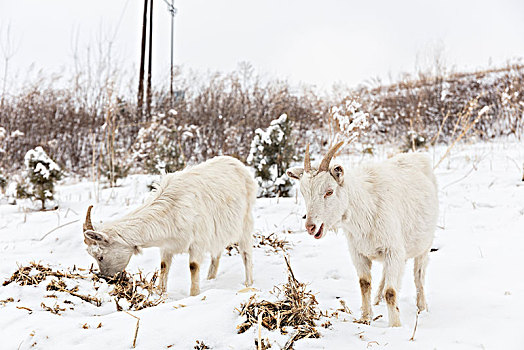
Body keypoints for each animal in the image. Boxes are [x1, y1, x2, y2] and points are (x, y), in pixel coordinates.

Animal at [82, 156, 258, 296]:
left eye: (100, 256)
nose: (107, 279)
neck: (172, 208)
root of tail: (237, 163)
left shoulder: (197, 243)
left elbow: (193, 267)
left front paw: (194, 295)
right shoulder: (167, 246)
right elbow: (164, 267)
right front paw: (161, 293)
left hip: (246, 223)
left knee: (246, 254)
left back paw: (248, 283)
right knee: (217, 253)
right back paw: (210, 278)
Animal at [286, 142, 438, 326]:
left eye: (329, 191)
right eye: (304, 193)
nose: (310, 226)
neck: (366, 208)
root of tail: (417, 155)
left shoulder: (393, 251)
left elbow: (391, 292)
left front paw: (395, 325)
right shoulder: (358, 252)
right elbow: (364, 284)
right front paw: (365, 318)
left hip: (424, 244)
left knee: (419, 277)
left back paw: (422, 307)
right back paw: (377, 299)